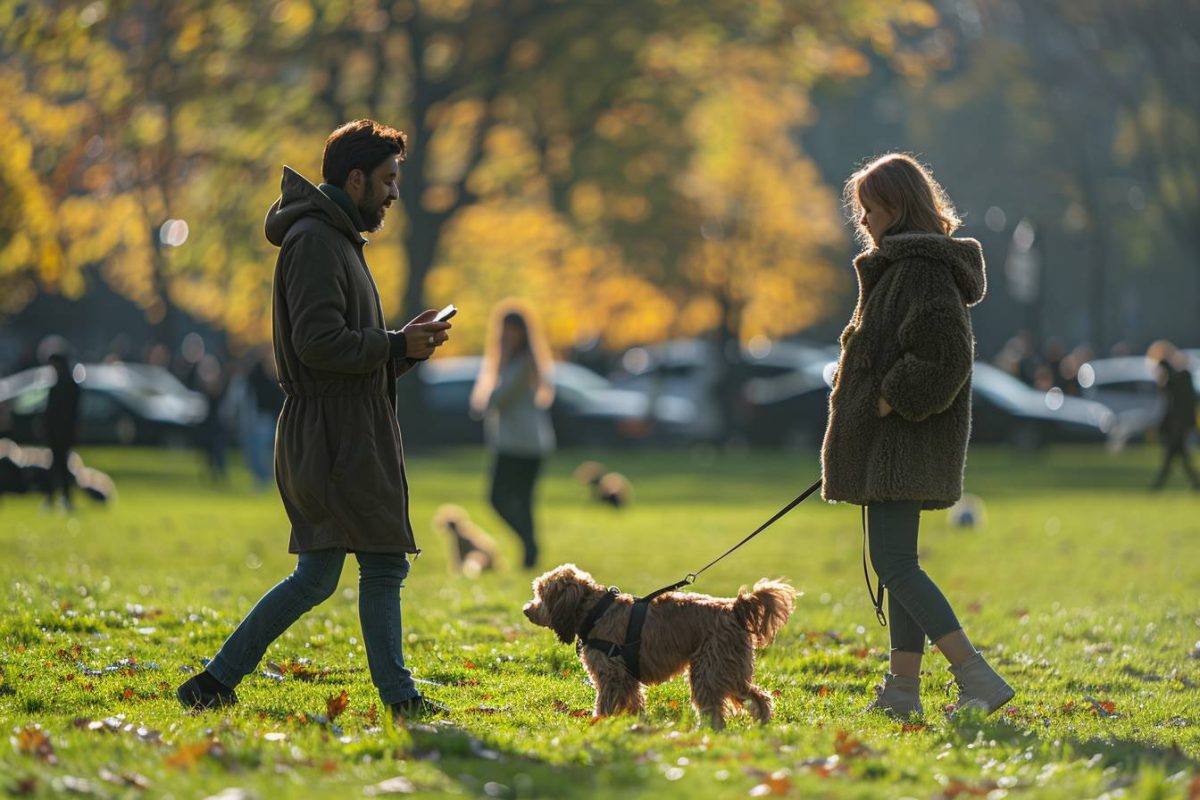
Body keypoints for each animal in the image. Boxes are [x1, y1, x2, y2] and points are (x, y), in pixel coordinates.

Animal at [525, 566, 796, 729]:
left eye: (540, 593)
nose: (527, 609)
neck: (597, 610)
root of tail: (734, 608)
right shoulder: (627, 678)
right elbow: (633, 702)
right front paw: (634, 724)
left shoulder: (611, 674)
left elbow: (605, 703)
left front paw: (599, 723)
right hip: (727, 669)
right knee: (757, 695)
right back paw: (762, 722)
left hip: (711, 669)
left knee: (717, 707)